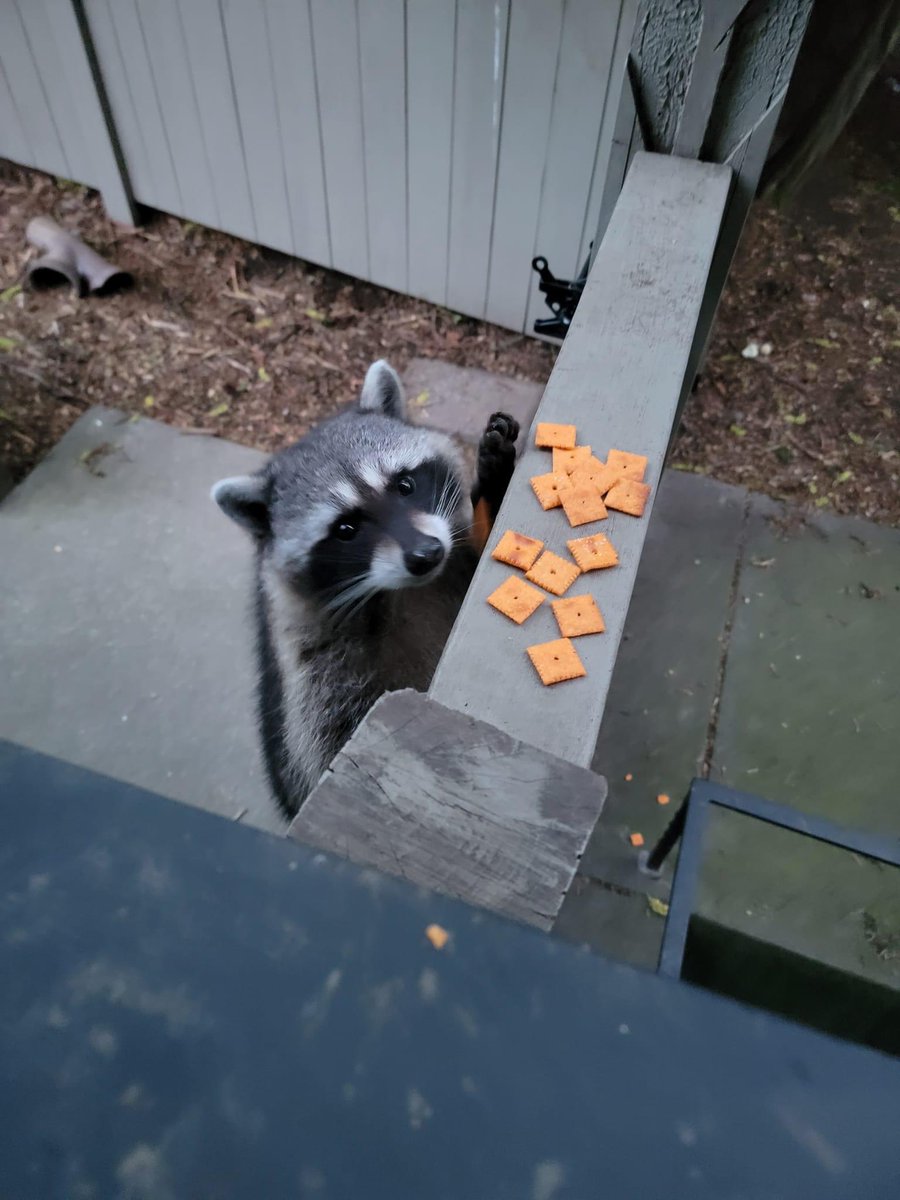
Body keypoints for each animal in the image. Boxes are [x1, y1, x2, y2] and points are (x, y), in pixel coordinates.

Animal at [212, 360, 519, 819]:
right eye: (346, 529)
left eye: (405, 486)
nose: (426, 554)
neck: (404, 592)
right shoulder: (316, 675)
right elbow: (334, 743)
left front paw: (493, 491)